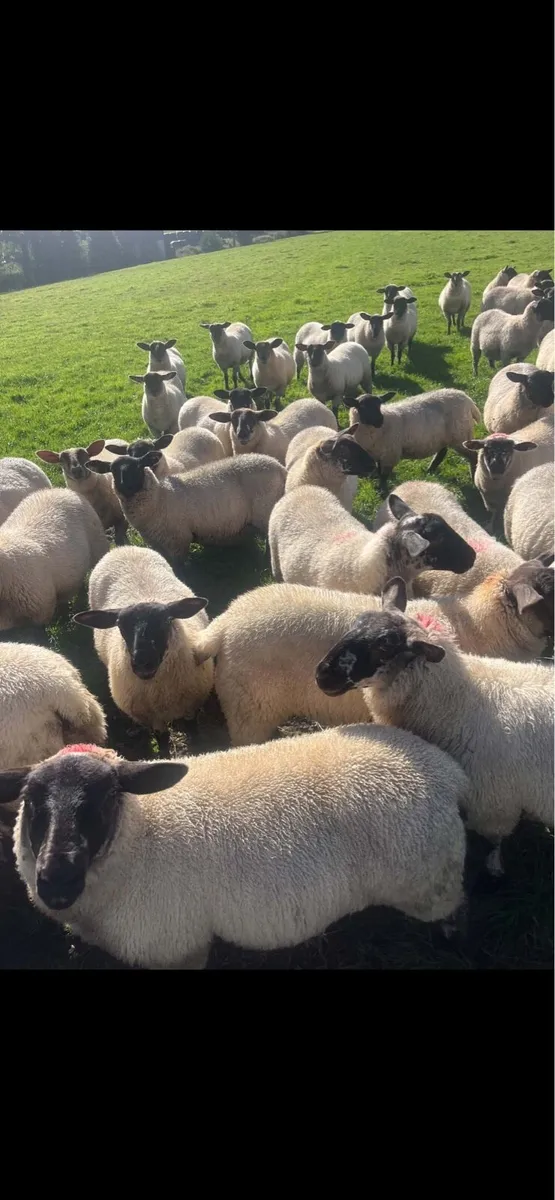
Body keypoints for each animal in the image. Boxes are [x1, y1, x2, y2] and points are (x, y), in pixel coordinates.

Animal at [3, 731, 468, 967]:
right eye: (32, 802)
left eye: (106, 799)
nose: (56, 881)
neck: (142, 829)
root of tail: (446, 770)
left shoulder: (178, 948)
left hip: (430, 883)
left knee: (451, 912)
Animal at [73, 547, 213, 737]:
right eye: (120, 625)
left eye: (166, 621)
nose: (142, 663)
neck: (157, 691)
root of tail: (122, 548)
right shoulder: (152, 720)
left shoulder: (191, 708)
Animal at [88, 451, 286, 562]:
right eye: (113, 471)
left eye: (137, 467)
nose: (125, 486)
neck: (159, 498)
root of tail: (279, 467)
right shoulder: (158, 544)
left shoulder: (178, 541)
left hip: (265, 511)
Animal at [315, 576, 554, 875]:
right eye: (356, 623)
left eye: (384, 644)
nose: (322, 674)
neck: (459, 702)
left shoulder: (493, 805)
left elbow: (493, 840)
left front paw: (493, 867)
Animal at [349, 389, 481, 491]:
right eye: (362, 406)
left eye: (380, 404)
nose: (379, 421)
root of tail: (467, 399)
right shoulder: (379, 454)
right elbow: (380, 472)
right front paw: (378, 488)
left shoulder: (390, 454)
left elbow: (384, 475)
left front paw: (382, 491)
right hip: (444, 437)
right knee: (442, 452)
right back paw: (430, 470)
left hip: (461, 436)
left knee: (473, 456)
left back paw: (474, 478)